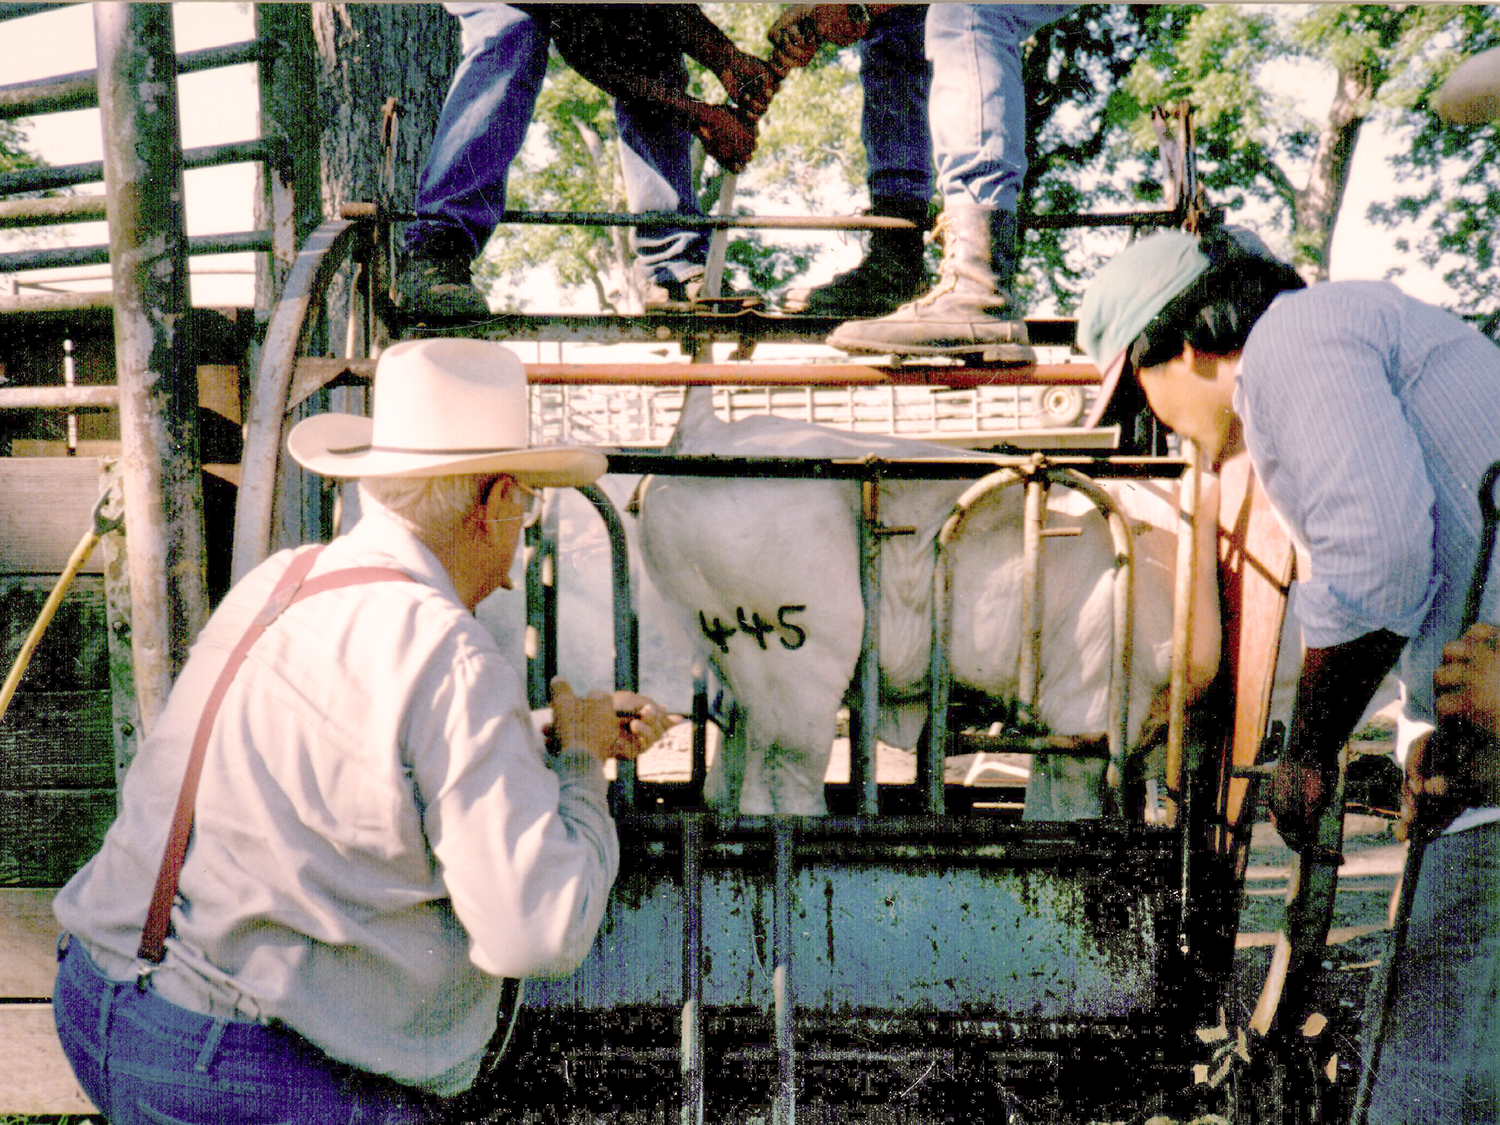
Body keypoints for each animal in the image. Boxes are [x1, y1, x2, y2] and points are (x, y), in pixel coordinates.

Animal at [633, 390, 1218, 822]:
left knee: (724, 777)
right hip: (794, 654)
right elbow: (1062, 815)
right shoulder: (1087, 703)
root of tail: (701, 432)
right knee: (781, 785)